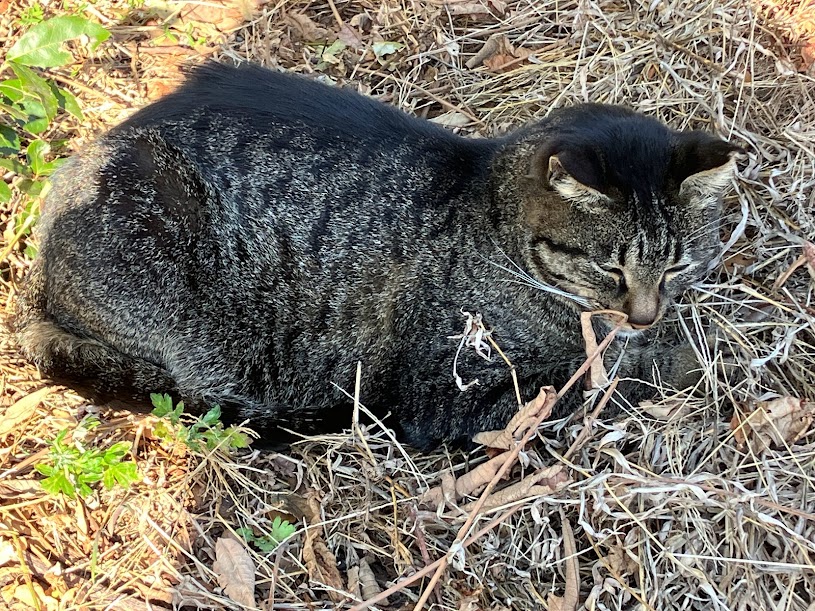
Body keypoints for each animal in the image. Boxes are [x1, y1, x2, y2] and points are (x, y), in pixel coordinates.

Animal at [12, 61, 744, 450]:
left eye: (677, 266)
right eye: (608, 268)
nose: (646, 315)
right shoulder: (449, 391)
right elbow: (600, 381)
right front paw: (683, 362)